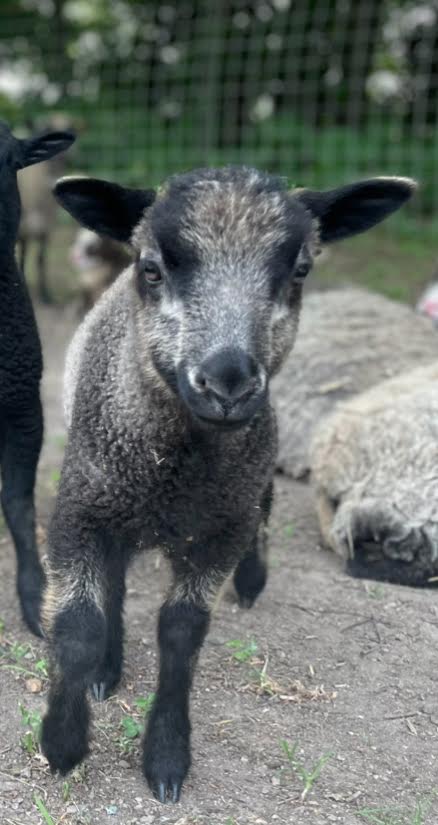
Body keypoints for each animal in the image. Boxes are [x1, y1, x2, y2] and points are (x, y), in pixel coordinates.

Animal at [17, 115, 76, 304]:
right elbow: (22, 256)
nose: (66, 157)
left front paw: (46, 296)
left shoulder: (46, 229)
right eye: (45, 129)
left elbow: (40, 260)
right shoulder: (23, 227)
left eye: (71, 128)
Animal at [39, 168, 414, 802]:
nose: (227, 385)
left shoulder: (220, 529)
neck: (175, 468)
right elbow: (82, 625)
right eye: (151, 267)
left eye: (300, 270)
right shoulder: (81, 512)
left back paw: (252, 580)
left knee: (263, 514)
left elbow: (182, 633)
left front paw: (167, 758)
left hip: (254, 475)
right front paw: (64, 741)